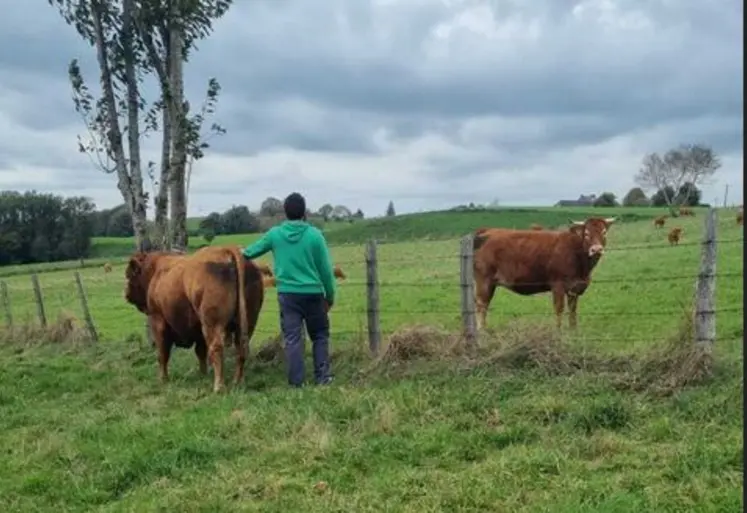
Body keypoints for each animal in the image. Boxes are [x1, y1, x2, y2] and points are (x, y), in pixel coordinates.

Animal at [124, 248, 258, 392]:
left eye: (129, 275)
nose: (126, 295)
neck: (155, 270)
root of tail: (227, 250)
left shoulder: (158, 320)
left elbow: (162, 353)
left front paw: (162, 379)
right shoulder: (198, 331)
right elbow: (200, 352)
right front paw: (203, 374)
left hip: (212, 325)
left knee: (216, 348)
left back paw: (218, 387)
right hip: (248, 323)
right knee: (241, 349)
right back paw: (237, 382)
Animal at [474, 216, 620, 328]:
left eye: (604, 232)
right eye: (587, 234)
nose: (596, 249)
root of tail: (488, 230)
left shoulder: (575, 288)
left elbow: (573, 312)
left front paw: (573, 332)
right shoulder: (558, 286)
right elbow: (559, 310)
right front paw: (558, 332)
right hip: (484, 281)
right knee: (481, 306)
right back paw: (482, 332)